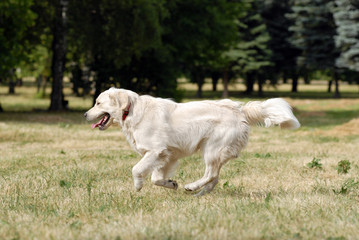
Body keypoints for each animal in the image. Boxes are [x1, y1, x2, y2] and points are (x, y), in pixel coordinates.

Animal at [85, 87, 300, 195]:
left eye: (98, 103)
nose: (86, 114)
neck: (130, 111)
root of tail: (240, 110)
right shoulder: (166, 155)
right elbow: (156, 178)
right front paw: (171, 184)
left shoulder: (156, 151)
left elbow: (136, 169)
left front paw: (138, 187)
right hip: (215, 152)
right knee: (215, 177)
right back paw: (200, 194)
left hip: (212, 149)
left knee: (211, 174)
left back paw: (192, 187)